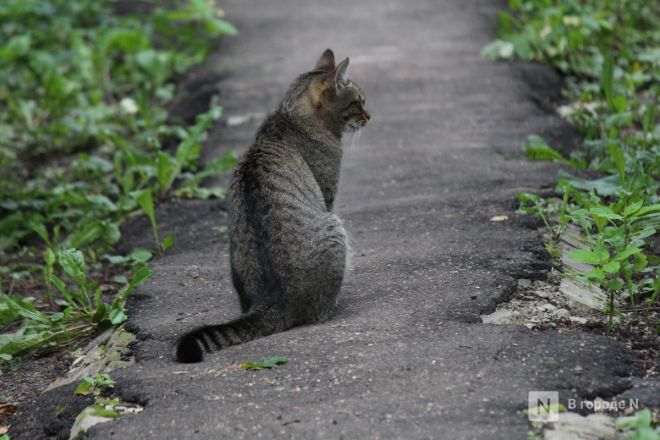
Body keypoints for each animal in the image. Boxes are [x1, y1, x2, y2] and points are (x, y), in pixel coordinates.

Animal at [174, 49, 372, 362]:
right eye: (358, 102)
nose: (369, 115)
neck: (290, 115)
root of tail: (273, 302)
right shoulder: (327, 194)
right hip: (334, 226)